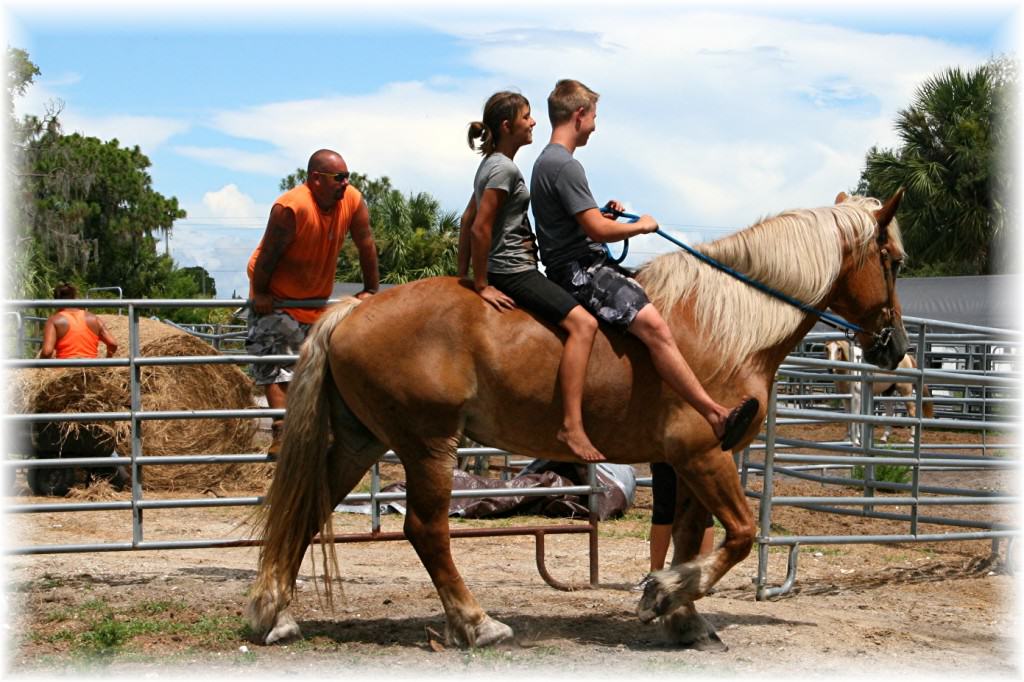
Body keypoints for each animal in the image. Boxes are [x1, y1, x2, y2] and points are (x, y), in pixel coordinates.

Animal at [247, 189, 913, 647]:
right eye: (895, 260)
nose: (893, 348)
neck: (724, 325)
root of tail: (351, 310)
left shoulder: (685, 464)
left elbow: (693, 537)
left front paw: (683, 617)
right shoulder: (702, 452)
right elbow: (741, 536)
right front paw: (663, 594)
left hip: (360, 442)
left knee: (307, 511)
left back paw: (273, 614)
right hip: (427, 445)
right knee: (426, 531)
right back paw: (476, 623)